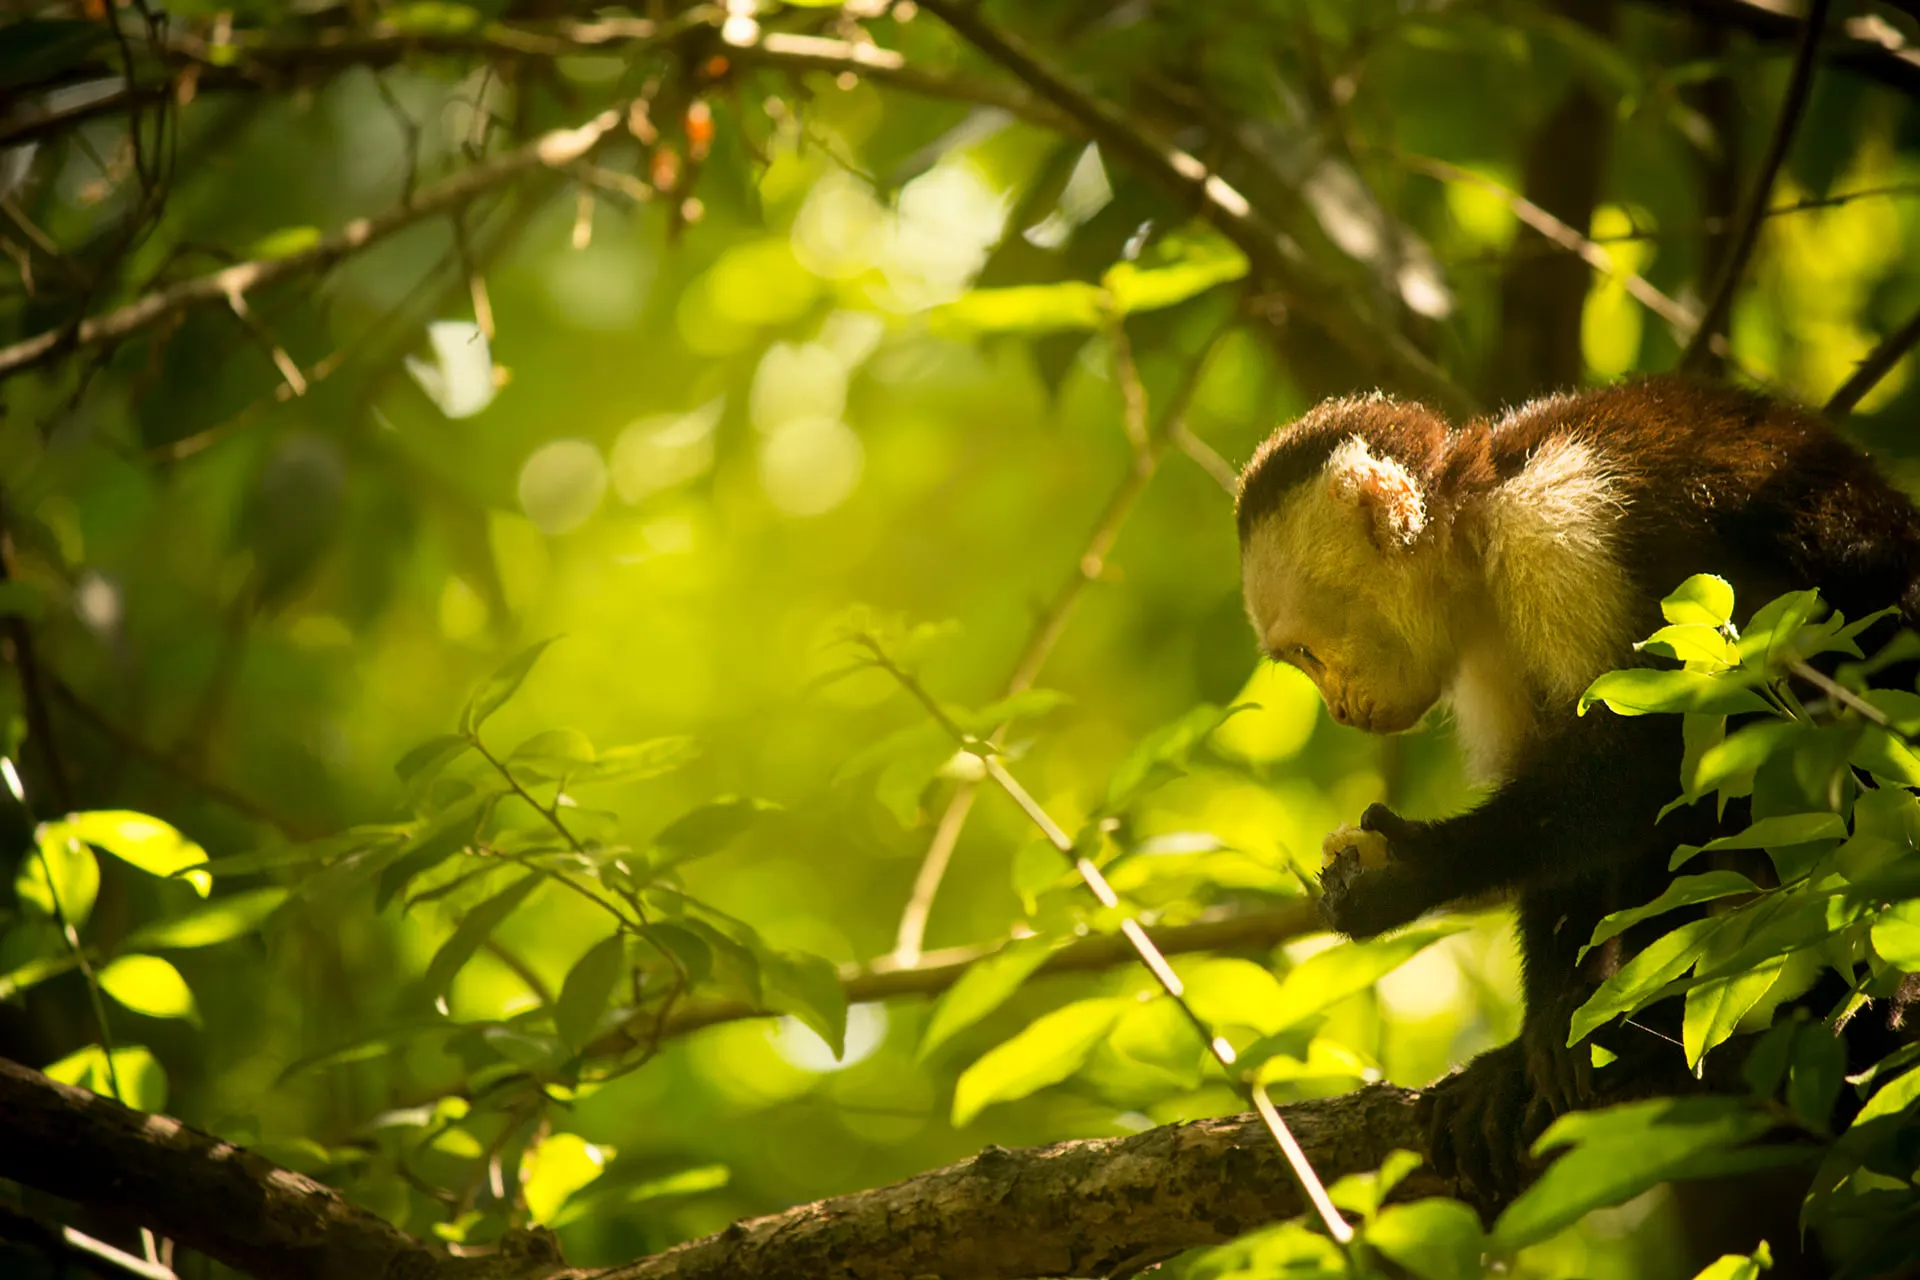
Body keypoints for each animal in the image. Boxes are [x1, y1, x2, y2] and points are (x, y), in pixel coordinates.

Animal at [1234, 376, 1920, 1196]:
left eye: (1305, 653)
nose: (1340, 710)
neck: (1478, 519)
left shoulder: (1559, 529)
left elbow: (1658, 754)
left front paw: (1419, 871)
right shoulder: (1484, 644)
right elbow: (1566, 855)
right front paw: (1532, 1047)